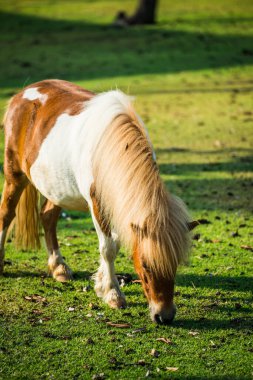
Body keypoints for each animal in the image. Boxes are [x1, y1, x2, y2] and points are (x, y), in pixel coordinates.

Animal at [0, 80, 197, 324]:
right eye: (146, 266)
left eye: (176, 264)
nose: (165, 315)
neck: (110, 146)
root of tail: (22, 94)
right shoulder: (97, 204)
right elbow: (108, 248)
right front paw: (112, 294)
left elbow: (114, 243)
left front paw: (102, 284)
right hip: (14, 174)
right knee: (6, 213)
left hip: (56, 187)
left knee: (47, 218)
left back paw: (59, 268)